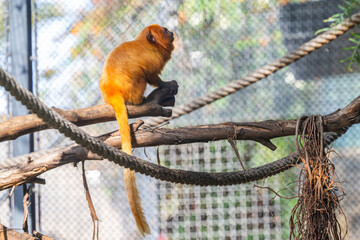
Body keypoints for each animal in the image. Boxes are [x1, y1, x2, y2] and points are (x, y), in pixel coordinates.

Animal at [100, 24, 176, 236]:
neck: (149, 44)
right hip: (132, 88)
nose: (170, 31)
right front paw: (166, 84)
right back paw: (139, 100)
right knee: (140, 75)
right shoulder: (153, 59)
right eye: (164, 30)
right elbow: (150, 75)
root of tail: (110, 89)